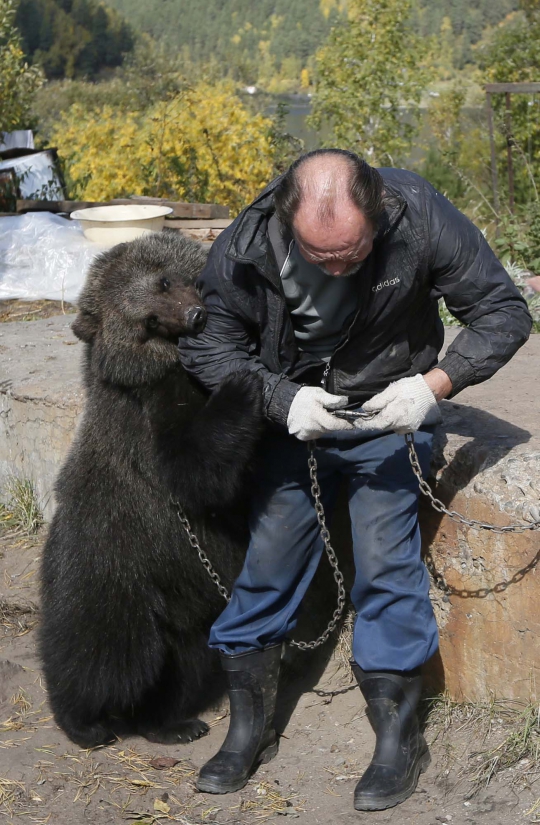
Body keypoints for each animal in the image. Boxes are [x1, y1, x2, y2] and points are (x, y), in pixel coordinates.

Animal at [40, 230, 264, 748]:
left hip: (185, 603)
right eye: (149, 321)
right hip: (111, 570)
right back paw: (85, 721)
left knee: (184, 662)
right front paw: (241, 385)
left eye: (164, 280)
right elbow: (195, 469)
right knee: (103, 654)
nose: (196, 315)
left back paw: (172, 722)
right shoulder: (151, 411)